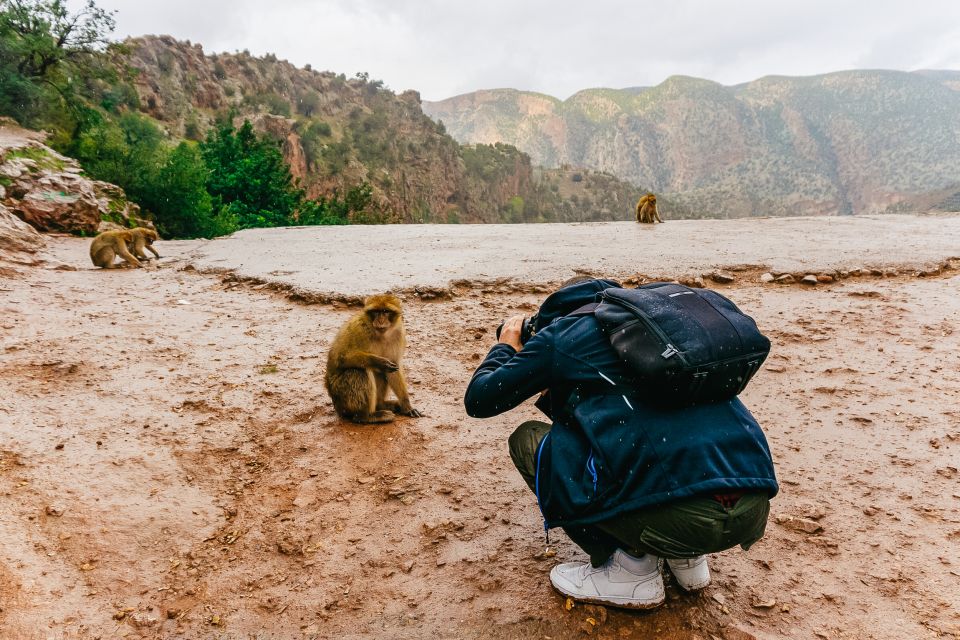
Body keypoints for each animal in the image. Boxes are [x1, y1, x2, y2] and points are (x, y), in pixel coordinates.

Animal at [324, 296, 422, 424]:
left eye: (385, 311)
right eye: (375, 311)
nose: (380, 320)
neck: (381, 334)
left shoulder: (398, 334)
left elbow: (394, 367)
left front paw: (407, 406)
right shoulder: (359, 329)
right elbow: (341, 357)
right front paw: (379, 362)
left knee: (379, 373)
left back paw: (381, 405)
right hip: (340, 397)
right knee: (359, 372)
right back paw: (366, 416)